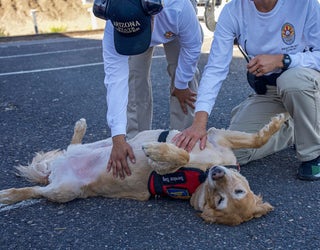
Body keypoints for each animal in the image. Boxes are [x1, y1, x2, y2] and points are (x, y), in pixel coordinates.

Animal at [0, 114, 286, 227]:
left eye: (220, 201)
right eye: (237, 192)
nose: (217, 174)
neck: (201, 173)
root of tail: (55, 171)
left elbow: (178, 156)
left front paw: (158, 151)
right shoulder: (217, 137)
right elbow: (255, 140)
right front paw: (276, 124)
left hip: (64, 191)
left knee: (33, 190)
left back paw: (7, 195)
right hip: (99, 146)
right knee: (76, 144)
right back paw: (80, 127)